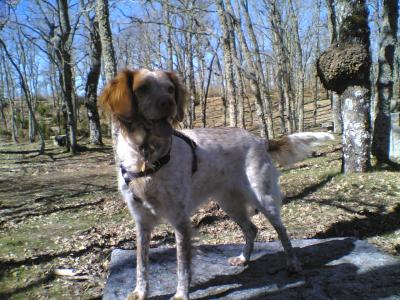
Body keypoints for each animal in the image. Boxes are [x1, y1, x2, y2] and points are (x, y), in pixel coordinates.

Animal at [101, 69, 334, 298]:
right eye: (142, 88)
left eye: (170, 89)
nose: (169, 103)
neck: (147, 159)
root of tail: (260, 140)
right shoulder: (141, 222)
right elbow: (141, 263)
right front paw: (140, 292)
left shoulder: (180, 220)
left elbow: (182, 266)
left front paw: (181, 294)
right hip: (229, 204)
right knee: (252, 229)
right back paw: (243, 258)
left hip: (263, 198)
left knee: (282, 231)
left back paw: (293, 263)